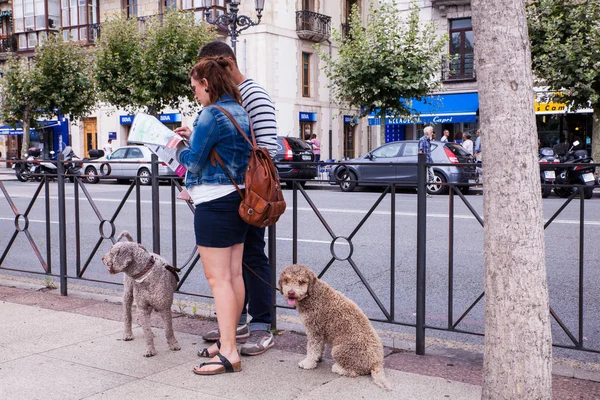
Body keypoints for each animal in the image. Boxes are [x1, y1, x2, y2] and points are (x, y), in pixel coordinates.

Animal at [102, 230, 180, 358]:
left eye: (112, 252)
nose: (102, 258)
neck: (146, 273)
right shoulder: (142, 307)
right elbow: (146, 331)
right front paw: (150, 350)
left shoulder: (164, 307)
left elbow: (169, 329)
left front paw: (173, 344)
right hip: (128, 294)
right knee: (127, 316)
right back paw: (127, 333)